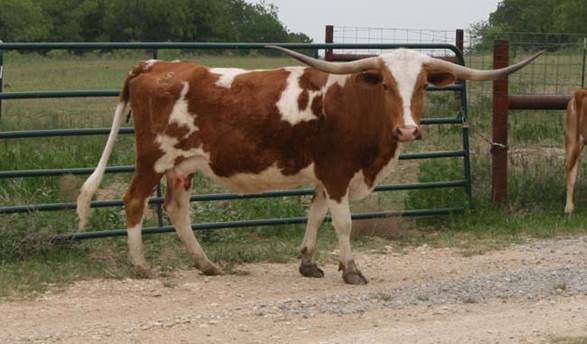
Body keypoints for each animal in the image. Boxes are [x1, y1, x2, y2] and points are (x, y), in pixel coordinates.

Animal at [77, 47, 544, 284]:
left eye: (424, 84)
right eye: (386, 83)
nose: (409, 130)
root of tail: (154, 64)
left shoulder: (325, 175)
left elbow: (315, 216)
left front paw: (308, 263)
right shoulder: (337, 172)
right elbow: (344, 223)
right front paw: (352, 269)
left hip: (183, 165)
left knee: (177, 211)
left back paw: (206, 264)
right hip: (152, 158)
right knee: (133, 201)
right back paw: (140, 265)